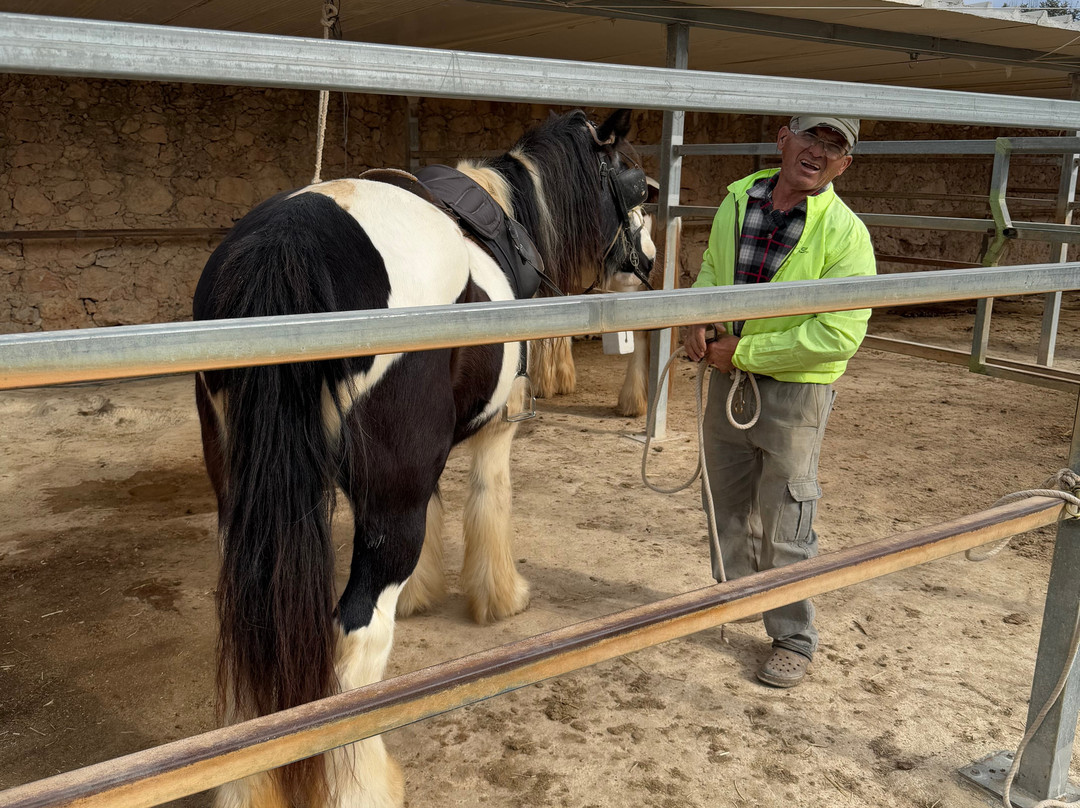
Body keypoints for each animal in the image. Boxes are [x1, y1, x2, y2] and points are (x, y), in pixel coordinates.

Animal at [192, 108, 654, 808]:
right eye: (636, 185)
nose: (648, 260)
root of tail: (290, 244)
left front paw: (424, 591)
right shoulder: (496, 428)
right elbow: (489, 501)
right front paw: (500, 596)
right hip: (385, 503)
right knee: (355, 630)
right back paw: (361, 783)